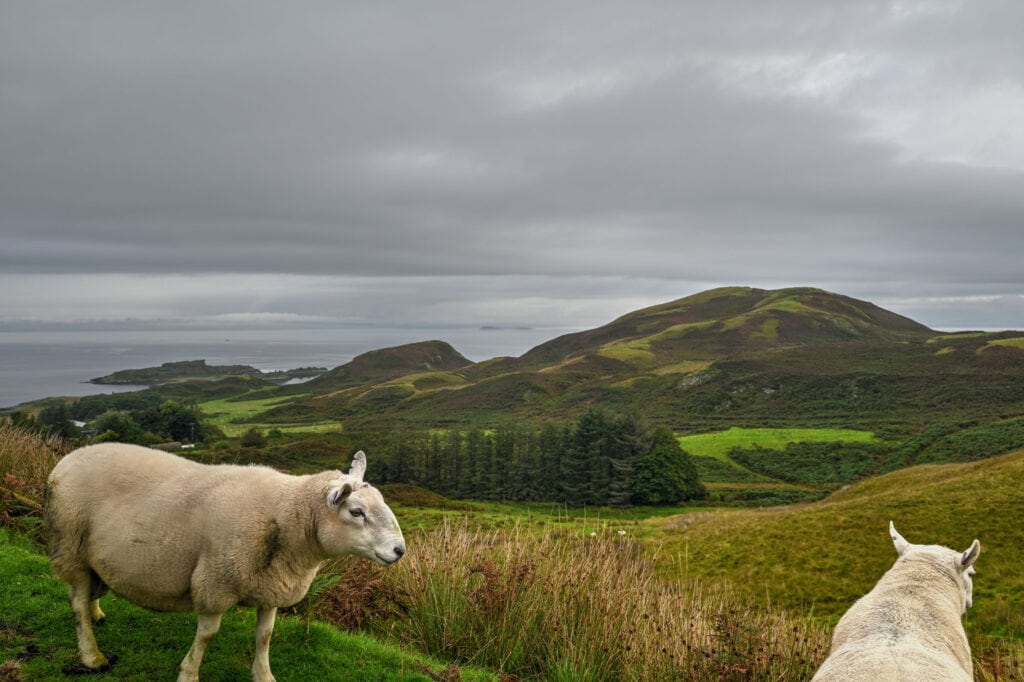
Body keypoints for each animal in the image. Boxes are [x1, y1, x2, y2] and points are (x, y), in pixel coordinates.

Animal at [45, 440, 403, 679]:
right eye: (356, 512)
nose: (399, 550)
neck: (285, 515)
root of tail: (65, 461)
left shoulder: (270, 587)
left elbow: (265, 635)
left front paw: (263, 675)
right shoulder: (215, 581)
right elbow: (207, 635)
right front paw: (188, 673)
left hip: (93, 557)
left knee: (90, 593)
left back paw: (97, 614)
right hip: (70, 545)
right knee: (77, 602)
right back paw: (92, 655)